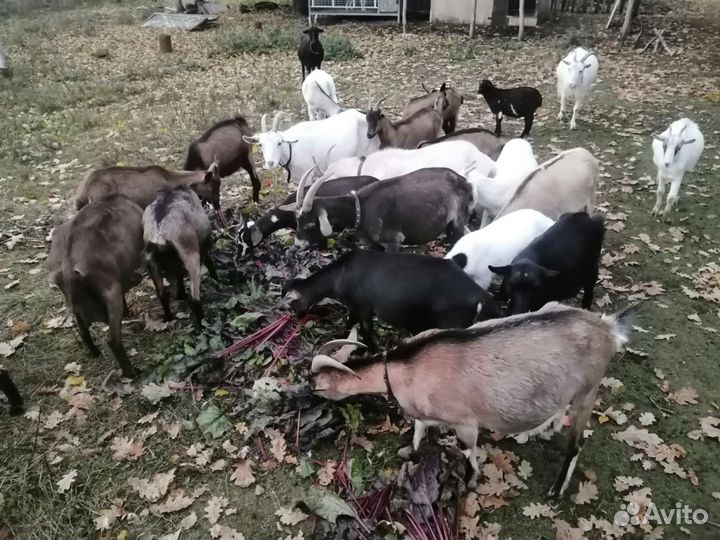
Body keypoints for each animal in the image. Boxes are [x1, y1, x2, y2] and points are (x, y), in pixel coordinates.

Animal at [48, 195, 145, 378]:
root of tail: (70, 268)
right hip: (111, 295)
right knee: (113, 340)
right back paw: (131, 372)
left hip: (76, 306)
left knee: (83, 332)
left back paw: (95, 353)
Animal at [143, 187, 217, 330]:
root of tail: (160, 234)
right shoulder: (202, 245)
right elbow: (209, 260)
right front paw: (217, 280)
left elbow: (178, 275)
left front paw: (180, 293)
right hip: (191, 256)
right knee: (194, 298)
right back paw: (202, 324)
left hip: (152, 264)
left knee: (162, 294)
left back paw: (168, 318)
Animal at [283, 249, 497, 345]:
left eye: (292, 304)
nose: (296, 319)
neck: (339, 277)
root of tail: (480, 294)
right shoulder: (354, 305)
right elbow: (349, 320)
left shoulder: (364, 306)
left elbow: (366, 330)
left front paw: (372, 348)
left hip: (451, 322)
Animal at [295, 166, 473, 251]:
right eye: (297, 221)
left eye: (310, 224)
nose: (297, 245)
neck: (361, 208)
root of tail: (465, 181)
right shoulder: (375, 246)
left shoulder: (392, 242)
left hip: (457, 223)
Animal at [309, 302, 638, 495]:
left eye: (318, 387)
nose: (307, 397)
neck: (404, 368)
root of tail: (607, 327)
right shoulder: (425, 413)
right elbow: (418, 430)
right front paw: (410, 453)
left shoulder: (465, 422)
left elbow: (468, 452)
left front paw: (468, 483)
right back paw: (537, 430)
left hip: (588, 390)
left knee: (577, 443)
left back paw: (556, 490)